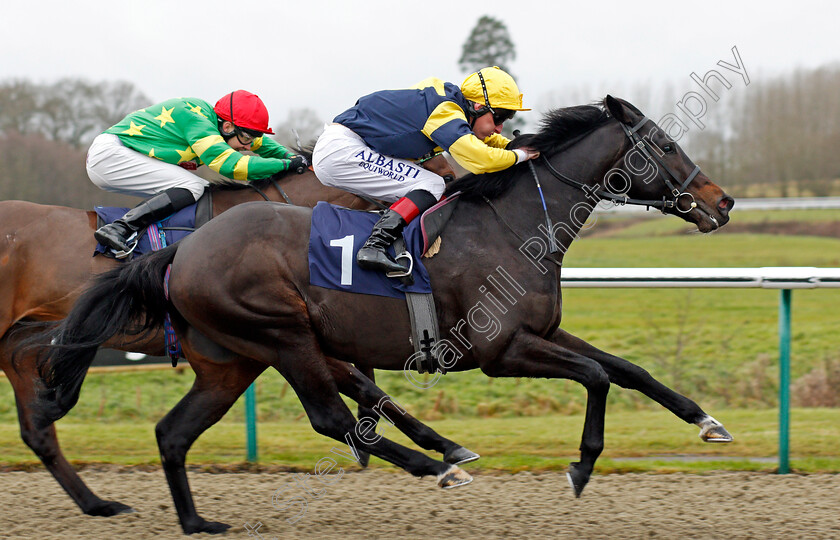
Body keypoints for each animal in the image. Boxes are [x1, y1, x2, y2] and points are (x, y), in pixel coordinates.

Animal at [29, 98, 732, 536]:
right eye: (666, 144)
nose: (722, 202)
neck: (511, 225)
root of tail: (184, 248)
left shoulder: (541, 331)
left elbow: (628, 370)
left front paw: (706, 422)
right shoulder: (500, 352)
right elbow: (595, 376)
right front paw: (581, 468)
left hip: (233, 360)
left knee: (174, 433)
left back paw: (198, 522)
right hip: (282, 336)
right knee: (331, 419)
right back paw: (440, 466)